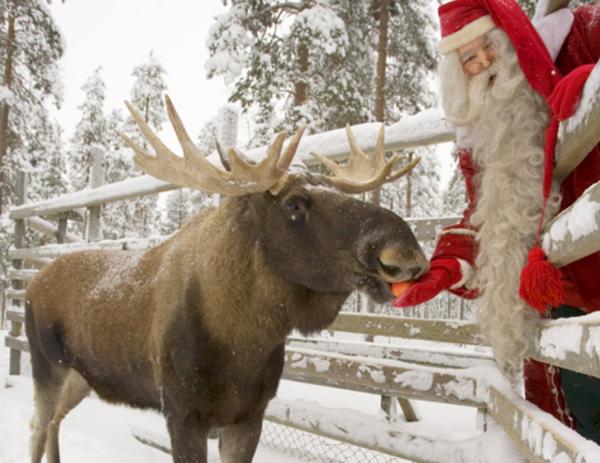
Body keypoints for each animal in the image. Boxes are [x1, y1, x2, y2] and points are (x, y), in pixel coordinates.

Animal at [22, 95, 426, 463]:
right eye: (293, 203)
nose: (405, 251)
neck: (244, 343)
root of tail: (30, 282)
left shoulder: (249, 414)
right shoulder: (182, 413)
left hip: (81, 377)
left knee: (54, 423)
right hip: (47, 367)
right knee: (37, 429)